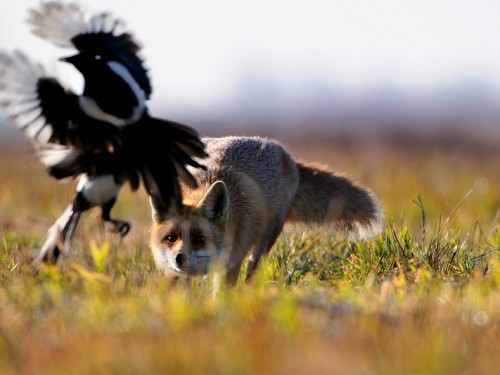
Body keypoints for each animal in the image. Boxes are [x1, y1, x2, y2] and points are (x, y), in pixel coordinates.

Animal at [150, 137, 380, 286]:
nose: (180, 258)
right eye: (171, 238)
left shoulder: (232, 263)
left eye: (199, 239)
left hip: (265, 241)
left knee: (252, 272)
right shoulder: (175, 274)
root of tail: (284, 152)